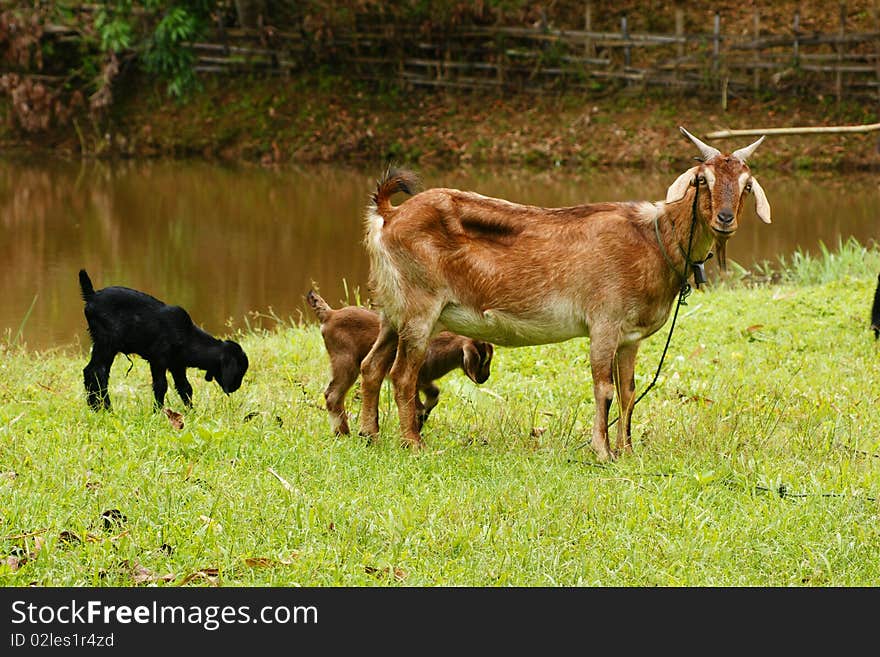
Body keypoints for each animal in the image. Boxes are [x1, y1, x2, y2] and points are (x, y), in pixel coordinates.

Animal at [78, 270, 248, 408]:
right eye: (238, 371)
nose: (235, 387)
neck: (187, 337)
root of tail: (91, 295)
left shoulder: (177, 364)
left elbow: (185, 387)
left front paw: (191, 412)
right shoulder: (158, 359)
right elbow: (161, 386)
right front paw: (157, 412)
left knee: (90, 371)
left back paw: (95, 407)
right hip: (107, 342)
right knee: (97, 372)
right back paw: (106, 408)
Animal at [306, 288, 492, 436]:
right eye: (483, 360)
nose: (486, 377)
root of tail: (330, 314)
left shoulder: (424, 380)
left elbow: (434, 394)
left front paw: (422, 420)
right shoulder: (415, 378)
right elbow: (417, 404)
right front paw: (416, 427)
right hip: (345, 361)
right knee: (333, 394)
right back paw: (343, 433)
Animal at [360, 125, 768, 458]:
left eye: (746, 185)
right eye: (702, 180)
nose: (725, 219)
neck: (654, 239)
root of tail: (389, 215)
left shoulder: (629, 337)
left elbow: (628, 391)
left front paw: (628, 451)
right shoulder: (604, 322)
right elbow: (604, 388)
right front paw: (603, 452)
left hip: (392, 312)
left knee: (371, 366)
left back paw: (369, 435)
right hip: (420, 309)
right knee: (402, 375)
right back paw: (412, 442)